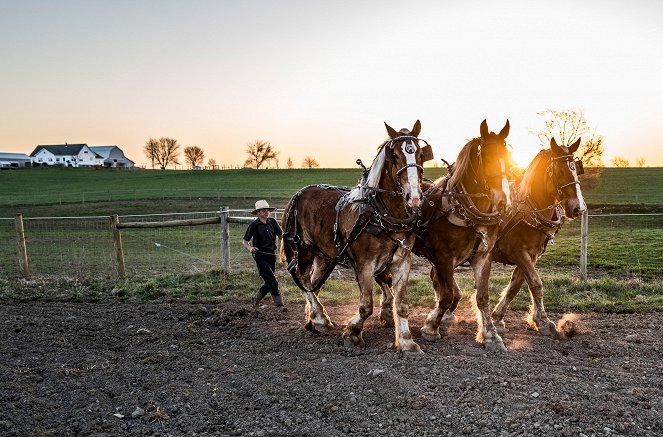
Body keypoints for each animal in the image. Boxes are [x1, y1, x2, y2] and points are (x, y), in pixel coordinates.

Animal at [282, 121, 434, 352]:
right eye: (395, 155)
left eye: (419, 154)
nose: (415, 197)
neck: (379, 212)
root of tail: (297, 195)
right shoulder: (364, 264)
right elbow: (365, 306)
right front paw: (352, 333)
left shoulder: (402, 262)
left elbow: (401, 305)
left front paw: (407, 342)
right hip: (303, 250)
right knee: (303, 280)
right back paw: (320, 318)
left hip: (324, 256)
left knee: (313, 283)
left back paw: (312, 319)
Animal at [378, 118, 512, 350]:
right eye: (486, 157)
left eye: (508, 155)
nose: (504, 201)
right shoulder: (443, 258)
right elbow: (447, 296)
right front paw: (431, 327)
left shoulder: (483, 257)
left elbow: (482, 297)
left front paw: (491, 334)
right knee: (383, 279)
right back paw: (386, 310)